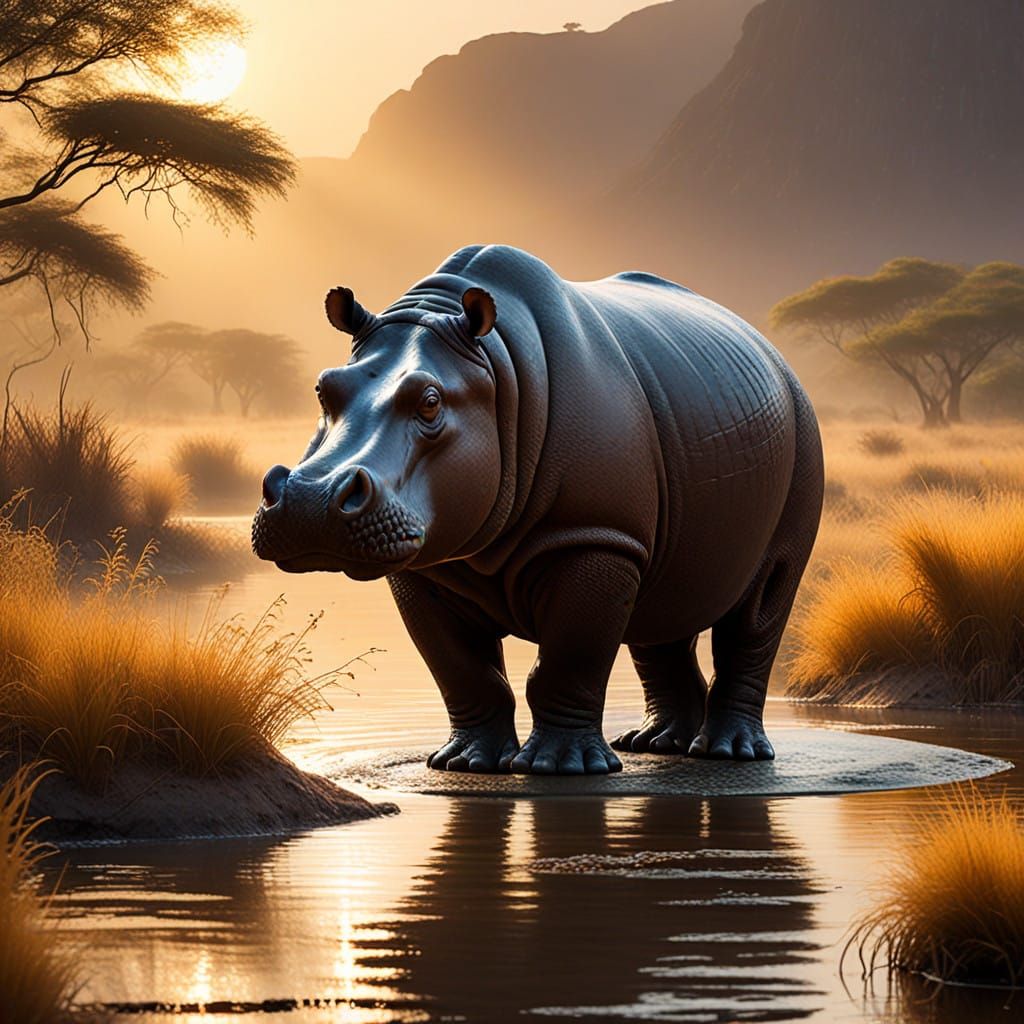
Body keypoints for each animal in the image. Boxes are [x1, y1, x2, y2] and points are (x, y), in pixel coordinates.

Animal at [252, 245, 824, 775]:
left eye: (431, 403)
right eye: (323, 390)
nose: (310, 500)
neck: (496, 371)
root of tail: (770, 349)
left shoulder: (593, 535)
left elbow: (567, 659)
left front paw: (562, 768)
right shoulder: (426, 561)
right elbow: (460, 668)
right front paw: (466, 763)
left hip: (801, 433)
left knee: (759, 606)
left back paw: (732, 754)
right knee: (663, 605)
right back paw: (656, 745)